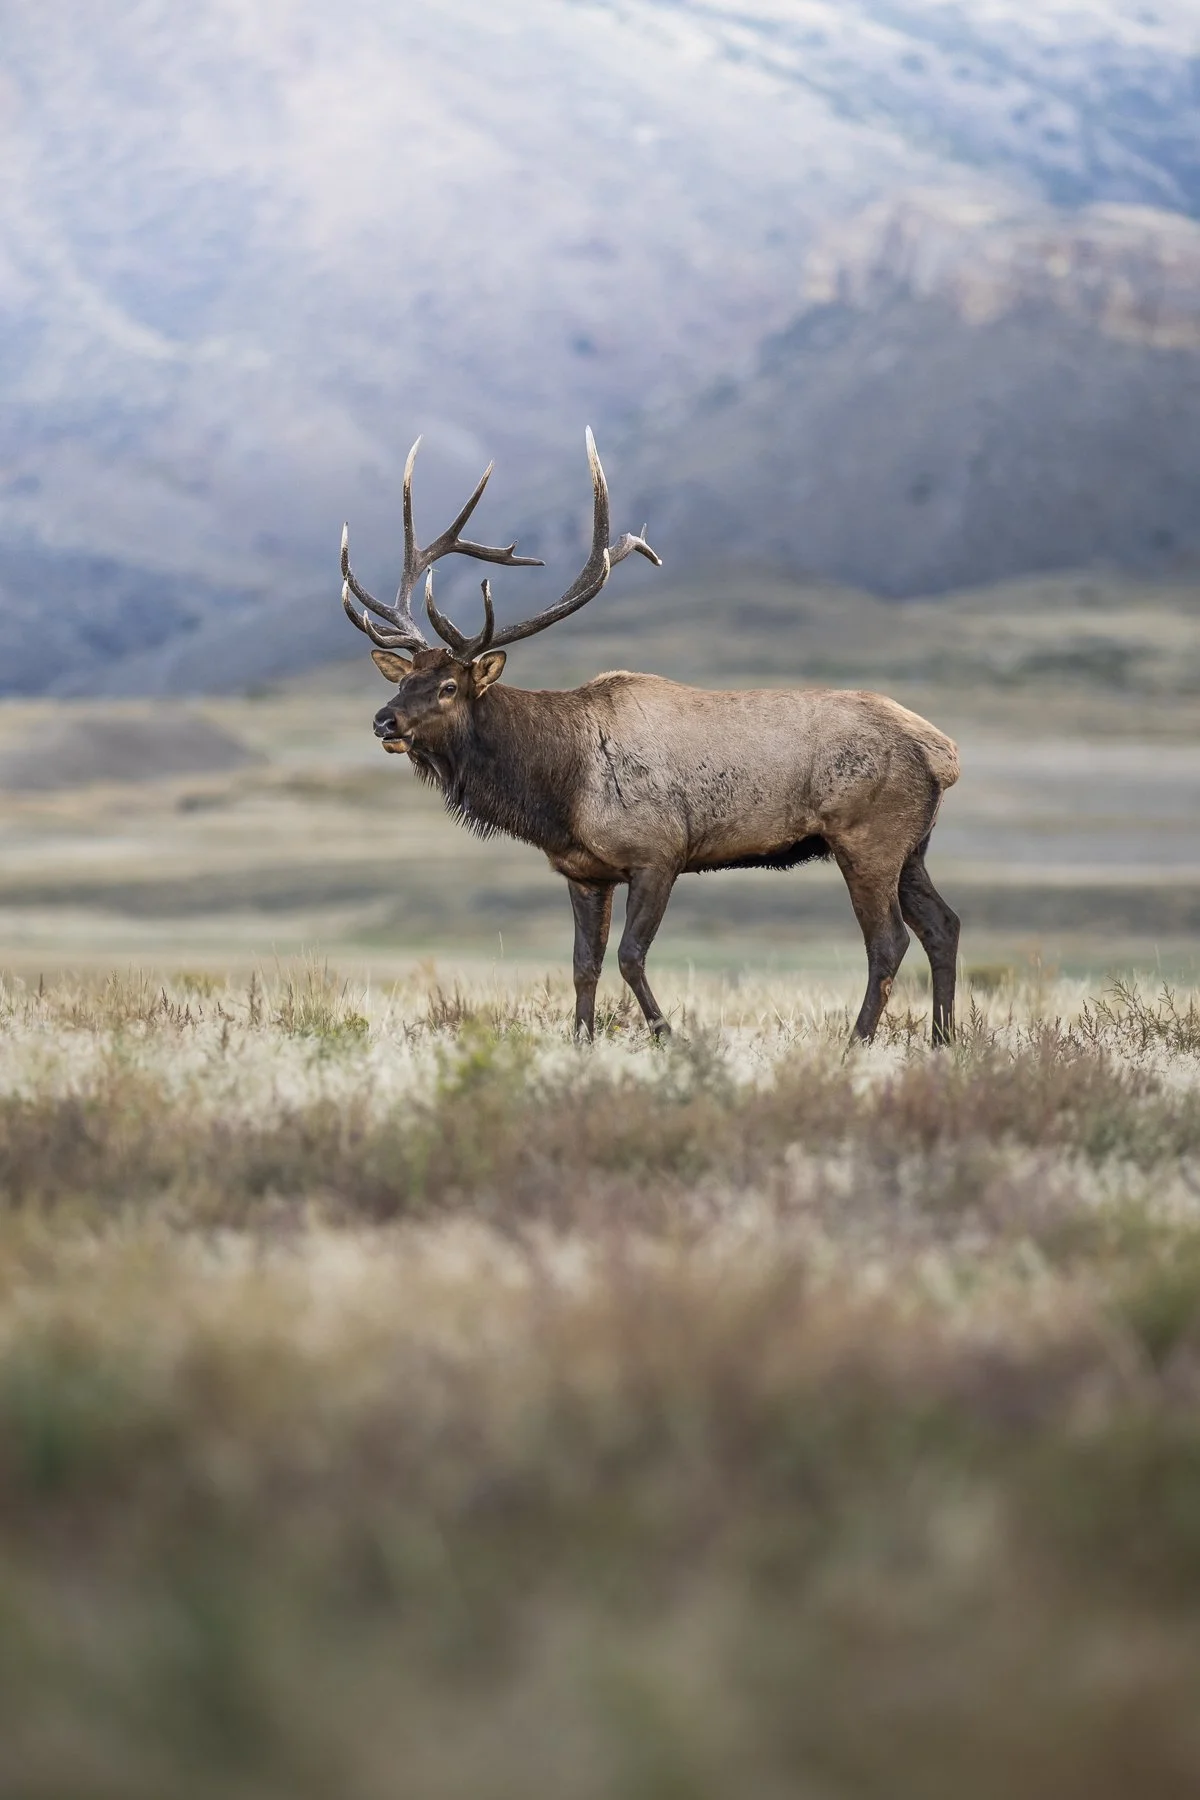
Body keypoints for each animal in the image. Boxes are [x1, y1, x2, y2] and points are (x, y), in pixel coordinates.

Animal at [341, 431, 961, 1045]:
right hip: (912, 846)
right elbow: (583, 964)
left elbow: (630, 956)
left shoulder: (657, 853)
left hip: (868, 838)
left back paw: (857, 1042)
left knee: (888, 941)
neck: (558, 791)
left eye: (448, 686)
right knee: (943, 925)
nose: (383, 722)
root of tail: (944, 753)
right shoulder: (584, 871)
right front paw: (582, 1039)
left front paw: (669, 1035)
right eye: (405, 680)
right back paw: (943, 1038)